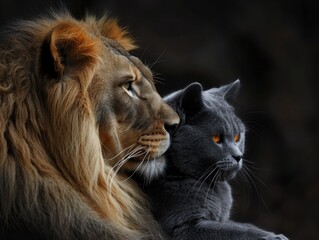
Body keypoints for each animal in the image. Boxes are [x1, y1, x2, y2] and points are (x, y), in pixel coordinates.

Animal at [134, 80, 288, 240]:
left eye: (237, 137)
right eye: (216, 138)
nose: (238, 156)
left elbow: (243, 225)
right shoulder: (183, 227)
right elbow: (235, 231)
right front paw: (275, 237)